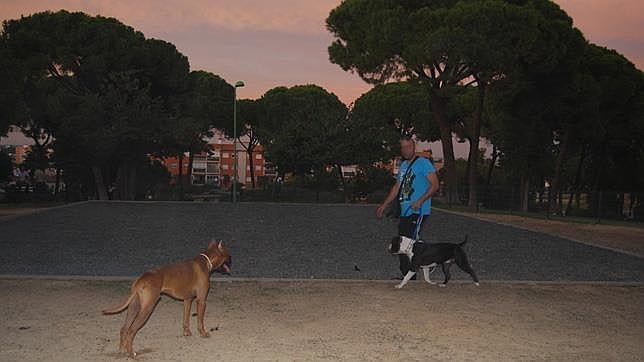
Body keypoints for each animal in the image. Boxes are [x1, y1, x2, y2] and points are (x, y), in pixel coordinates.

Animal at [100, 240, 231, 356]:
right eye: (228, 255)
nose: (232, 259)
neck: (206, 261)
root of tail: (142, 278)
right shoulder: (201, 301)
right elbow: (200, 321)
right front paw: (203, 333)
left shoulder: (187, 300)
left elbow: (186, 319)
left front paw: (186, 332)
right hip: (147, 308)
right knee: (131, 330)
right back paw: (131, 353)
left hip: (134, 307)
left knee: (124, 328)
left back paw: (122, 351)